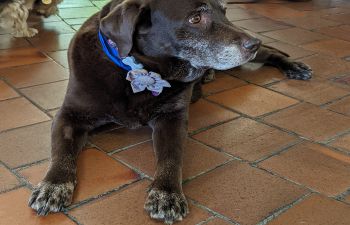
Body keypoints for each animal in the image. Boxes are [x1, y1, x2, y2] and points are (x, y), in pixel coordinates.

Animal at [27, 0, 312, 223]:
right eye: (195, 18)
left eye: (225, 11)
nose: (253, 43)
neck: (138, 73)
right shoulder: (69, 116)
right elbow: (62, 152)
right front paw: (53, 185)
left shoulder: (172, 119)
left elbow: (171, 156)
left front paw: (166, 193)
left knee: (272, 52)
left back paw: (293, 65)